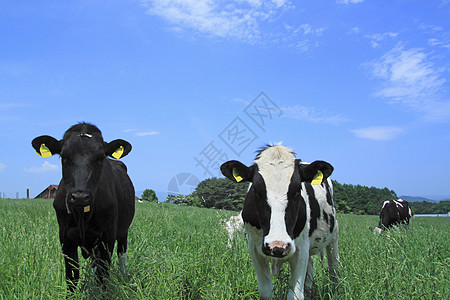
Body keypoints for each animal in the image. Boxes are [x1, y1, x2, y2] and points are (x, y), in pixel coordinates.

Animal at [31, 121, 134, 290]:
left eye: (100, 158)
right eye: (64, 156)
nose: (80, 196)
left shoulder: (107, 237)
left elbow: (103, 275)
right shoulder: (65, 237)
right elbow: (72, 277)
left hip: (123, 231)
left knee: (121, 257)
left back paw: (124, 281)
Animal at [220, 144, 340, 298]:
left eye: (297, 190)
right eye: (256, 190)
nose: (277, 246)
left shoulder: (301, 249)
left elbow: (295, 295)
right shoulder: (254, 247)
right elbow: (266, 292)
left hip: (333, 237)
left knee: (334, 267)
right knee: (311, 265)